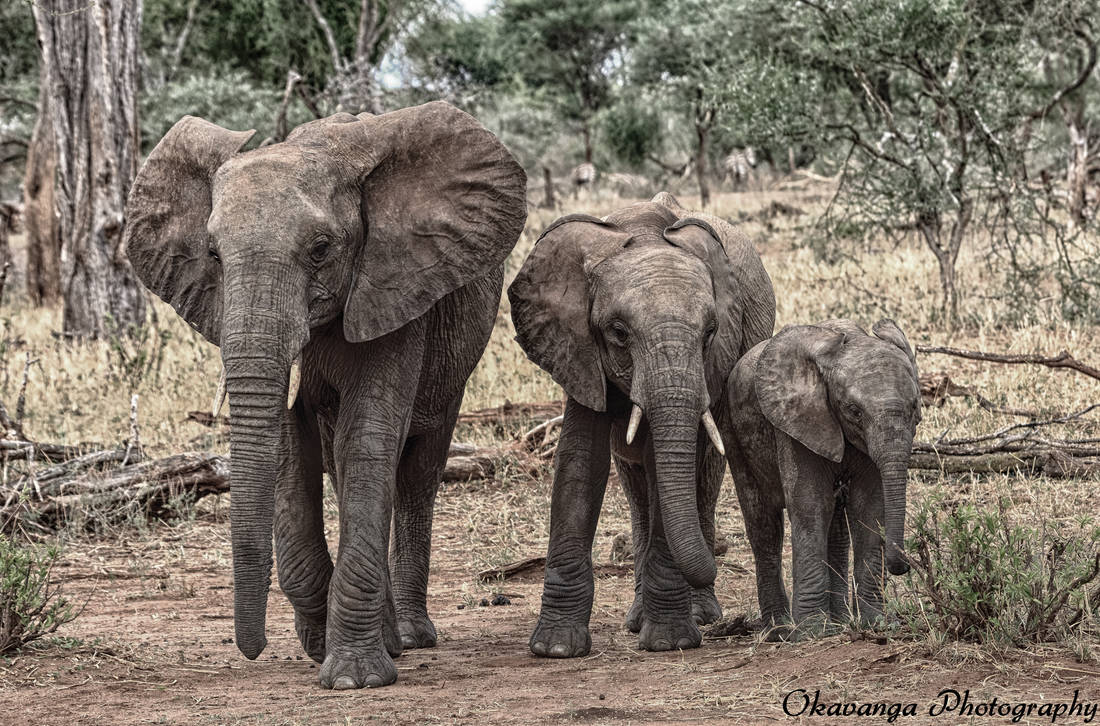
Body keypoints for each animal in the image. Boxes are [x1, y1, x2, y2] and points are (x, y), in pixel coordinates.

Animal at [124, 100, 528, 686]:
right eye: (213, 254)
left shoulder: (393, 283)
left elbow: (367, 437)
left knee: (416, 469)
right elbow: (289, 443)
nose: (253, 649)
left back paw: (411, 638)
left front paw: (355, 677)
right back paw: (390, 638)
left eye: (320, 250)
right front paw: (319, 645)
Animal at [506, 190, 774, 655]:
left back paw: (698, 614)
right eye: (618, 332)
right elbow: (580, 461)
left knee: (702, 477)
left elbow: (660, 463)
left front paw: (669, 642)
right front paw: (556, 649)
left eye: (710, 333)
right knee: (635, 485)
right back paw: (637, 618)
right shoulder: (575, 346)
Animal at [726, 316, 924, 629]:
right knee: (763, 522)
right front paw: (811, 631)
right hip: (732, 429)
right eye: (853, 410)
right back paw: (779, 630)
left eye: (915, 406)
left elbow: (870, 506)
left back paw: (840, 622)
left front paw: (877, 624)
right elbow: (810, 503)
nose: (904, 565)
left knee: (837, 526)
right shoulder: (795, 420)